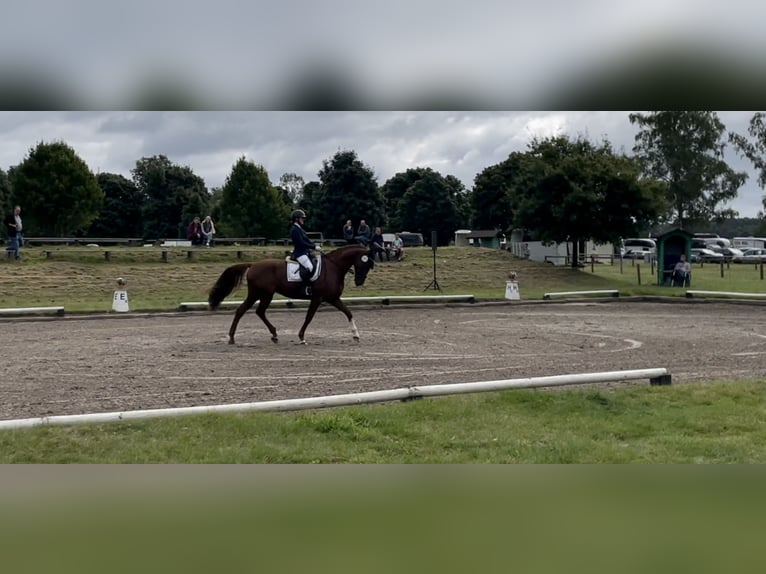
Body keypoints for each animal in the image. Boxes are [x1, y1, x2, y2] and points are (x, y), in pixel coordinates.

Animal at [208, 244, 376, 344]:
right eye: (365, 263)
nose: (359, 282)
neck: (333, 267)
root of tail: (253, 264)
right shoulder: (318, 298)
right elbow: (309, 317)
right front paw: (301, 337)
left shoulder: (333, 298)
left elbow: (348, 312)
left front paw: (356, 335)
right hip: (261, 294)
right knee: (247, 311)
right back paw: (232, 337)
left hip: (262, 295)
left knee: (255, 311)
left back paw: (272, 335)